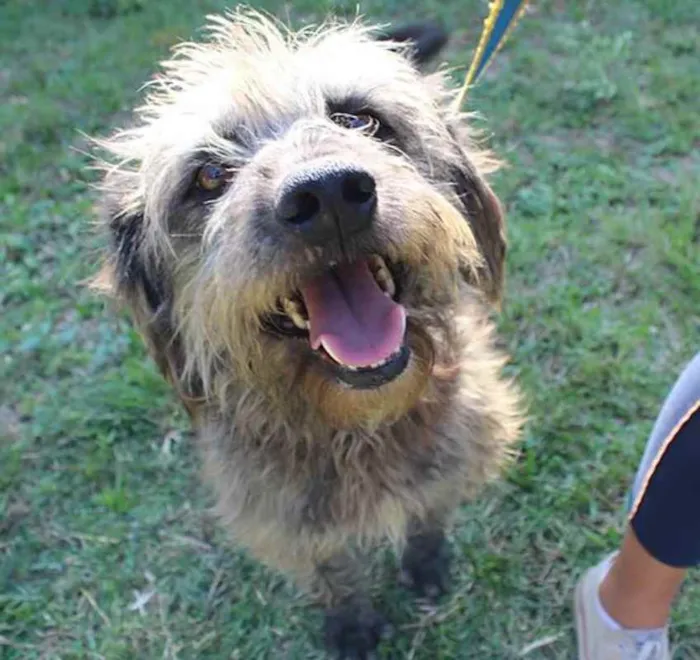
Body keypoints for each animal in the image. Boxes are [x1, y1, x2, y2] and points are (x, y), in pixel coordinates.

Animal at [90, 9, 524, 656]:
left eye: (360, 119)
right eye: (209, 175)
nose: (327, 193)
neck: (356, 428)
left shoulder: (451, 454)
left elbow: (428, 514)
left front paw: (427, 563)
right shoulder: (283, 517)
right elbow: (331, 568)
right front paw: (350, 622)